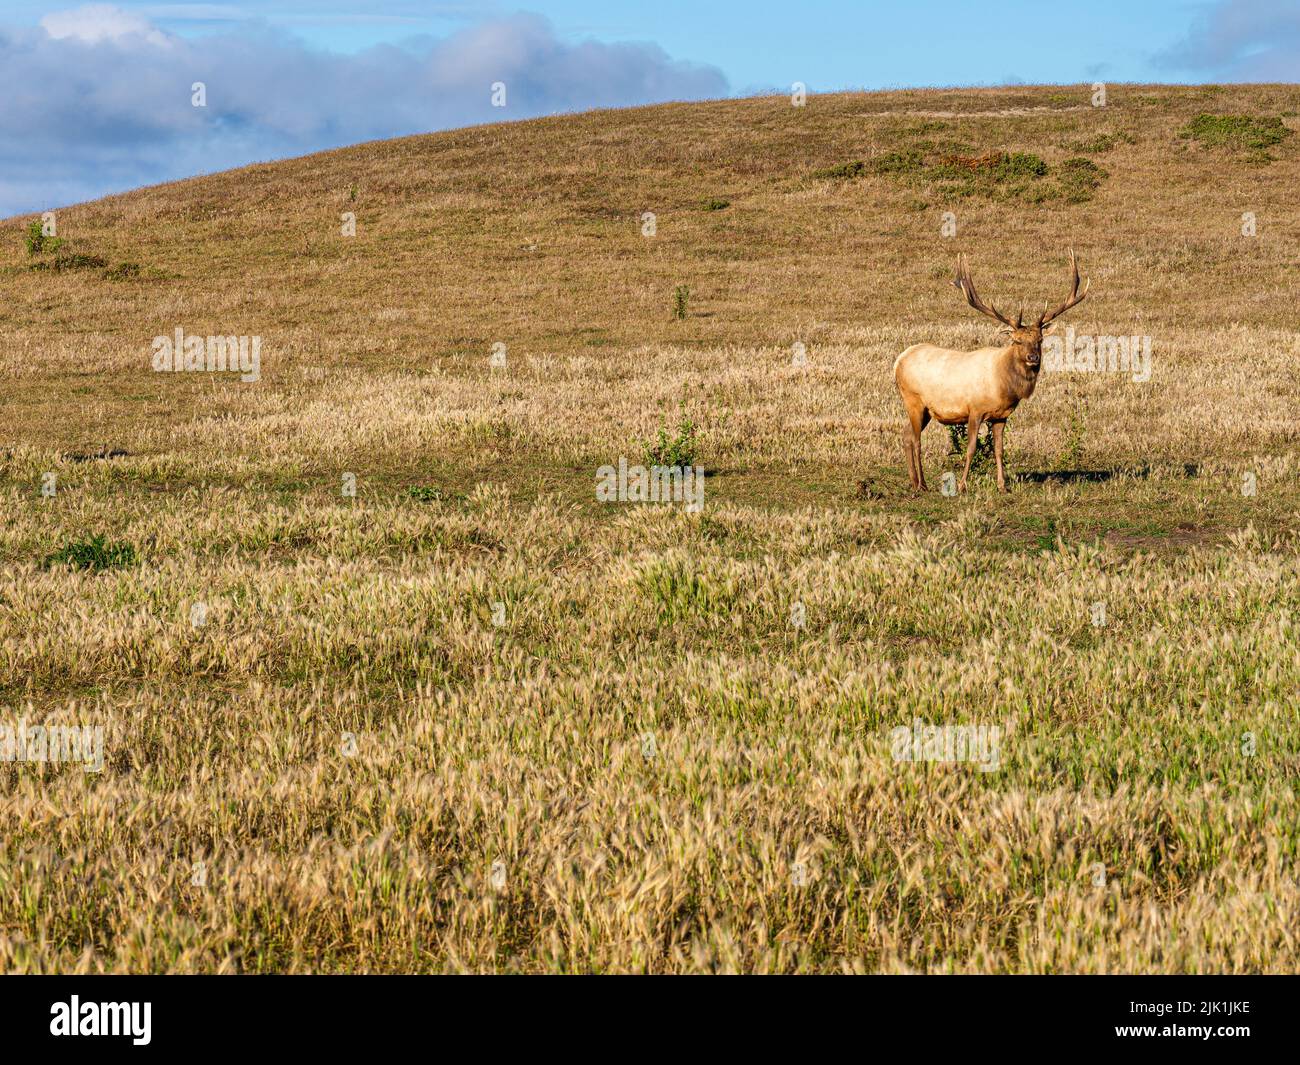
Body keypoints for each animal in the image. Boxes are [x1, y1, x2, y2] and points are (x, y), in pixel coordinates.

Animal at [894, 252, 1086, 494]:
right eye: (1017, 341)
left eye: (1040, 340)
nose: (1033, 357)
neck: (1003, 386)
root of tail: (898, 360)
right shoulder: (974, 409)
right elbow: (971, 448)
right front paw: (963, 485)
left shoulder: (1001, 416)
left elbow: (999, 449)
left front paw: (1002, 485)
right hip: (913, 399)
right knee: (917, 439)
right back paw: (922, 484)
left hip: (926, 409)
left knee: (906, 434)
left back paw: (915, 482)